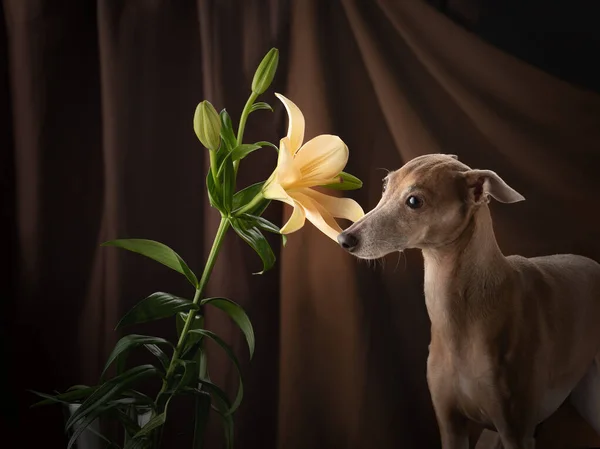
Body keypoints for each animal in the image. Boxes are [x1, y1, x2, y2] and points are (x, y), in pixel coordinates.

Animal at [340, 152, 600, 446]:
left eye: (414, 201)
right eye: (386, 185)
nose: (344, 238)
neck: (460, 322)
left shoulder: (515, 430)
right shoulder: (450, 423)